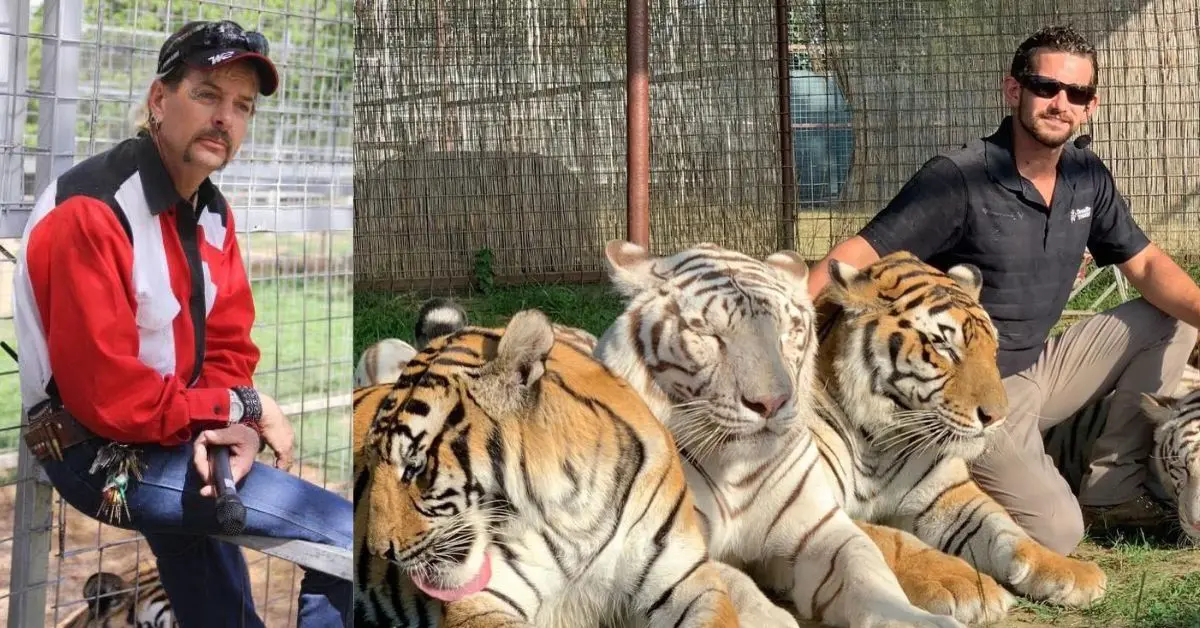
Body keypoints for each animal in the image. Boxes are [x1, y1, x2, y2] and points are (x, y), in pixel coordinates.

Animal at [351, 307, 796, 628]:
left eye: (414, 466)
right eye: (372, 462)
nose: (380, 552)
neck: (574, 511)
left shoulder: (683, 580)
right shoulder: (485, 600)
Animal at [593, 240, 965, 628]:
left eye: (787, 333)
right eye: (708, 335)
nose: (770, 403)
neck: (736, 471)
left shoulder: (819, 527)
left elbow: (869, 570)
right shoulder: (672, 547)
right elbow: (731, 585)